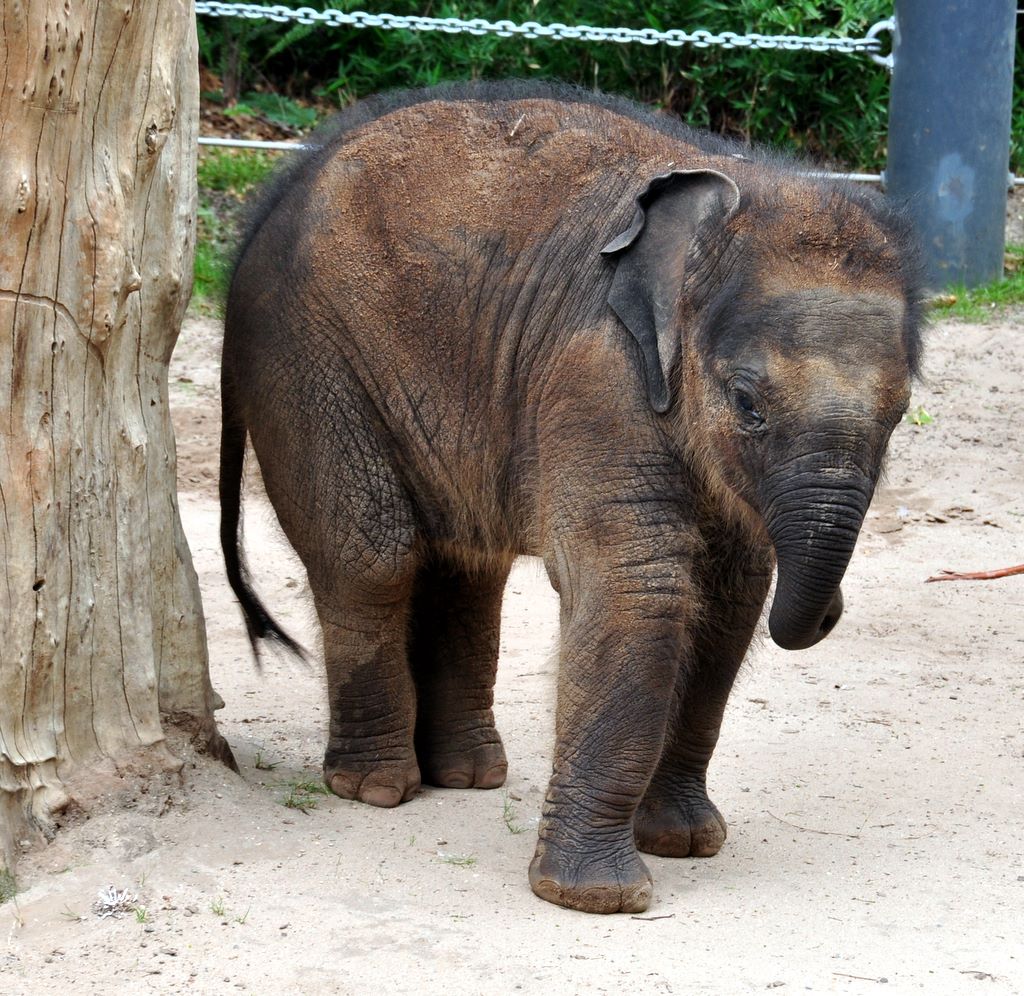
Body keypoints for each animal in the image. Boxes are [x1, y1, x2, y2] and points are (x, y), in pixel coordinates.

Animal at [219, 81, 923, 914]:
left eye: (900, 412)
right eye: (748, 403)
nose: (831, 611)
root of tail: (273, 197)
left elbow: (732, 593)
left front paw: (686, 845)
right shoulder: (596, 376)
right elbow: (639, 586)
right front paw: (598, 899)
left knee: (468, 562)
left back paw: (467, 777)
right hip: (307, 358)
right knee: (373, 555)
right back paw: (378, 788)